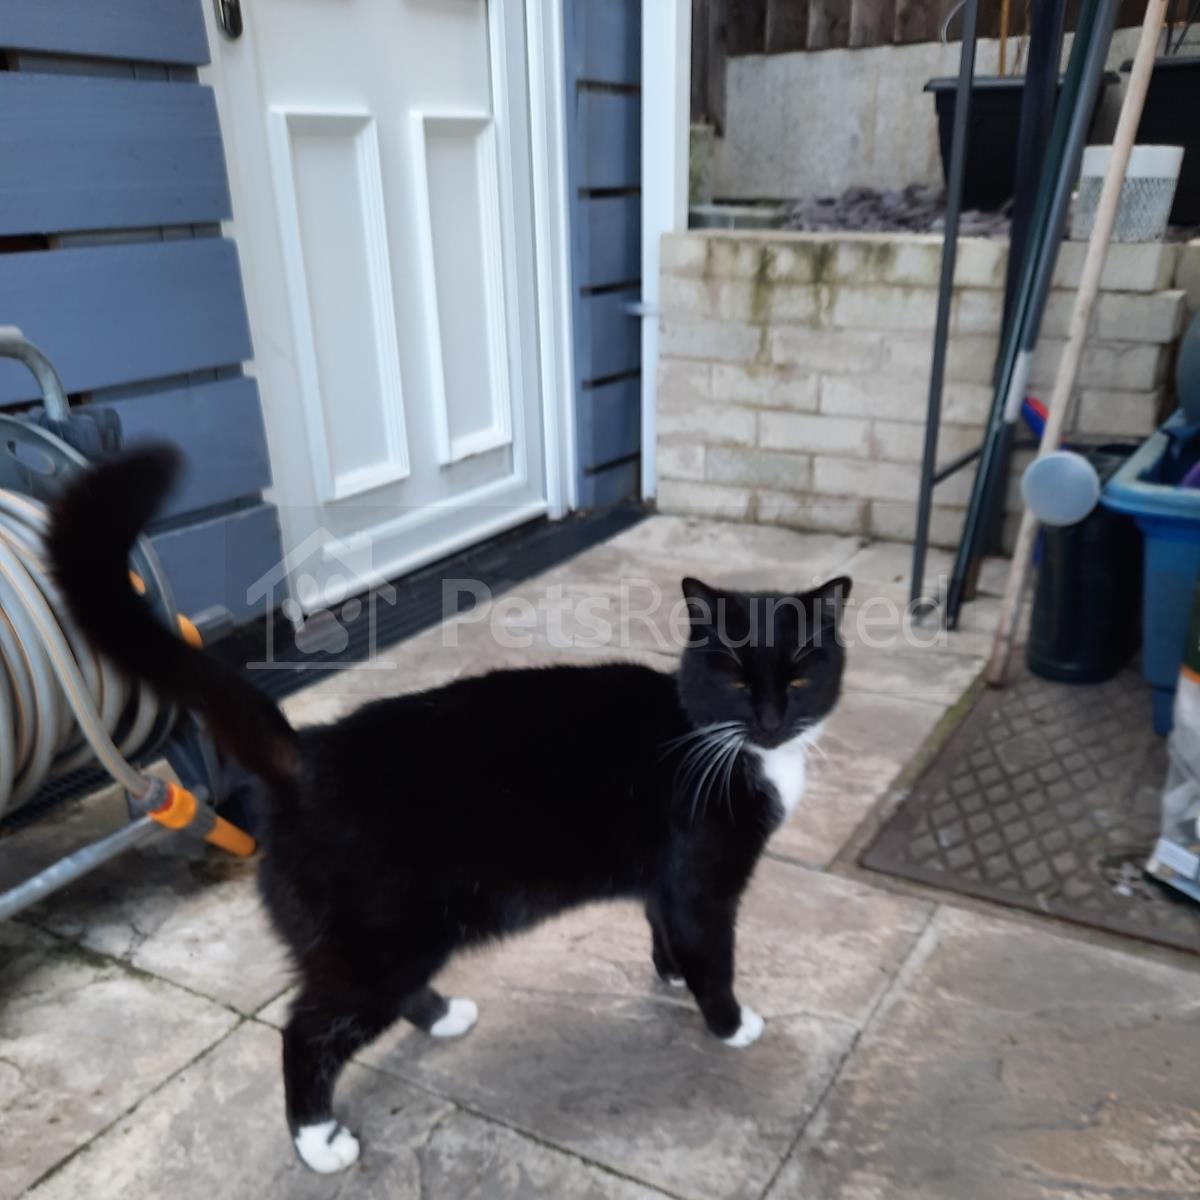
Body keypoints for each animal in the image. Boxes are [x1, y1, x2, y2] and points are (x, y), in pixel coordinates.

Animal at [48, 445, 851, 1175]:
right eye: (737, 682)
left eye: (801, 679)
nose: (773, 720)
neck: (721, 744)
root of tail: (305, 753)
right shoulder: (703, 877)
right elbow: (712, 950)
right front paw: (729, 1020)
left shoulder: (667, 878)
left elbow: (663, 925)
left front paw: (673, 974)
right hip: (379, 936)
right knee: (306, 1030)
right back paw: (319, 1142)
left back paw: (441, 1017)